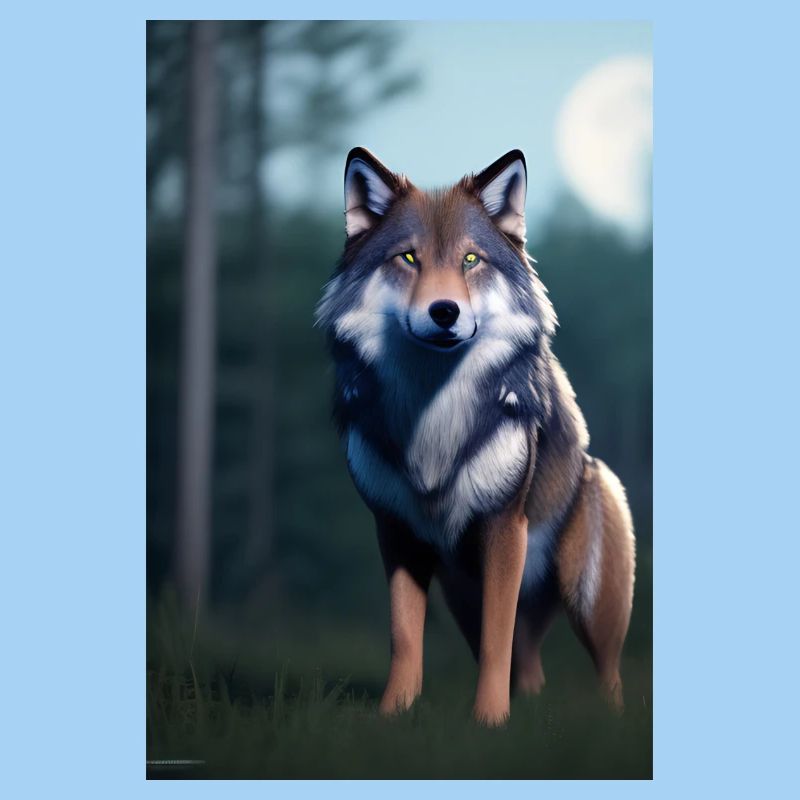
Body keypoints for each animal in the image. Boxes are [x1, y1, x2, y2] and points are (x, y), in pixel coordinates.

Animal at [315, 147, 636, 726]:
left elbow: (496, 641)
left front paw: (488, 722)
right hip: (460, 591)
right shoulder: (395, 531)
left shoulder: (504, 528)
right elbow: (405, 638)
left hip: (586, 597)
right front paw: (392, 717)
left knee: (607, 674)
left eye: (470, 260)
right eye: (409, 258)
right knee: (529, 668)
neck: (432, 416)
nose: (445, 311)